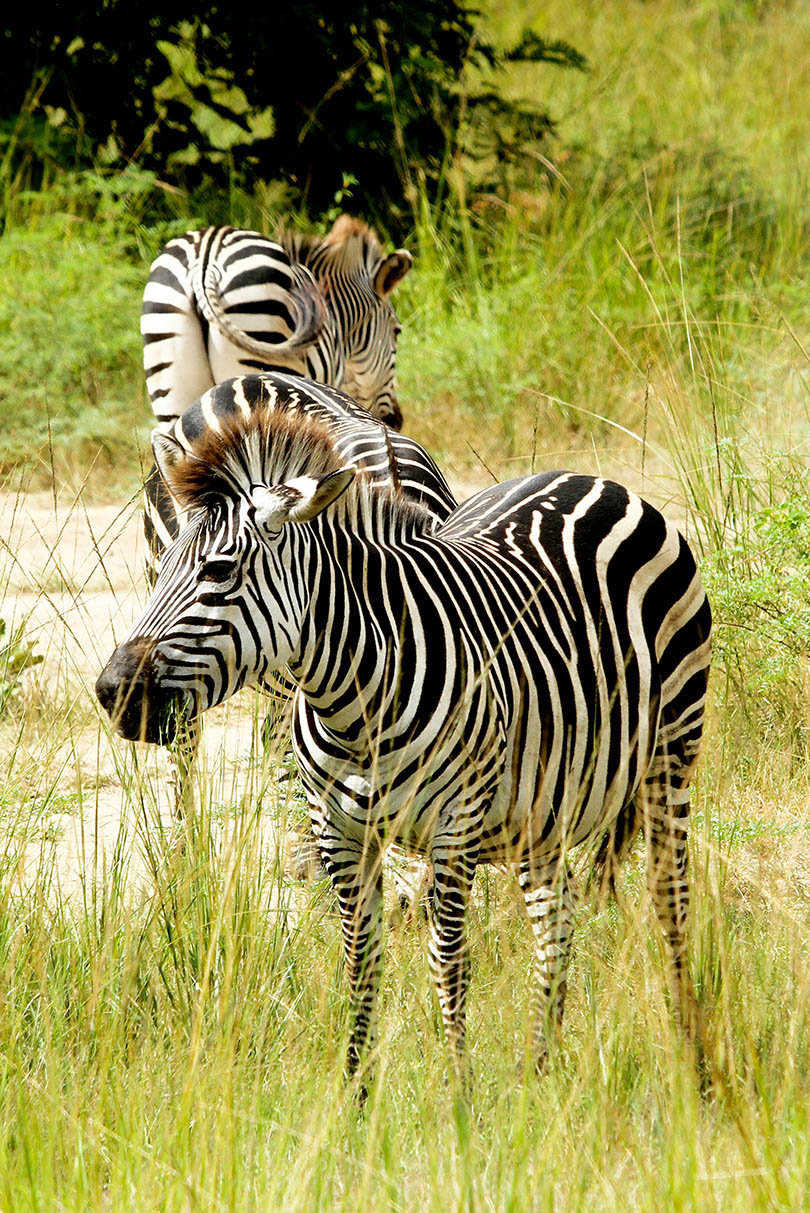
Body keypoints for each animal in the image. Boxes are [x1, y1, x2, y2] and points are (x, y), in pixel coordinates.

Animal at [98, 380, 712, 1081]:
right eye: (167, 561)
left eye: (219, 572)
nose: (114, 693)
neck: (354, 705)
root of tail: (593, 478)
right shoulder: (336, 832)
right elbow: (360, 963)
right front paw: (356, 1095)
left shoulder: (454, 828)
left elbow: (449, 965)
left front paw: (459, 1095)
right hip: (544, 804)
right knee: (555, 927)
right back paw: (541, 1076)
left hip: (671, 753)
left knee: (670, 902)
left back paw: (693, 1064)